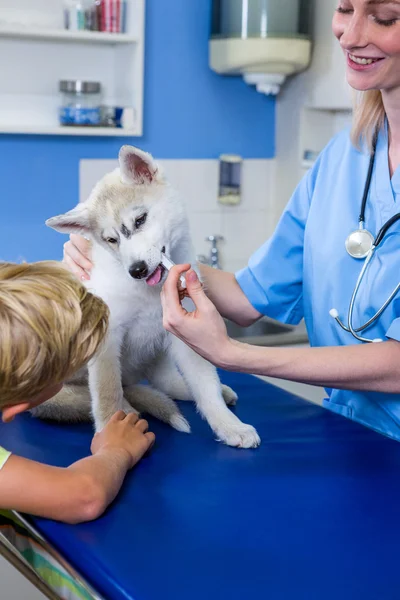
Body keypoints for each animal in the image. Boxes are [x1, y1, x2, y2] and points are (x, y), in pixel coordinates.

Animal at [33, 143, 260, 448]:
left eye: (140, 220)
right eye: (111, 240)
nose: (137, 270)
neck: (149, 292)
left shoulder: (187, 334)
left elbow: (205, 384)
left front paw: (228, 425)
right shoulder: (107, 338)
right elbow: (107, 392)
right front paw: (110, 433)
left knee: (167, 384)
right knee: (111, 394)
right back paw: (127, 409)